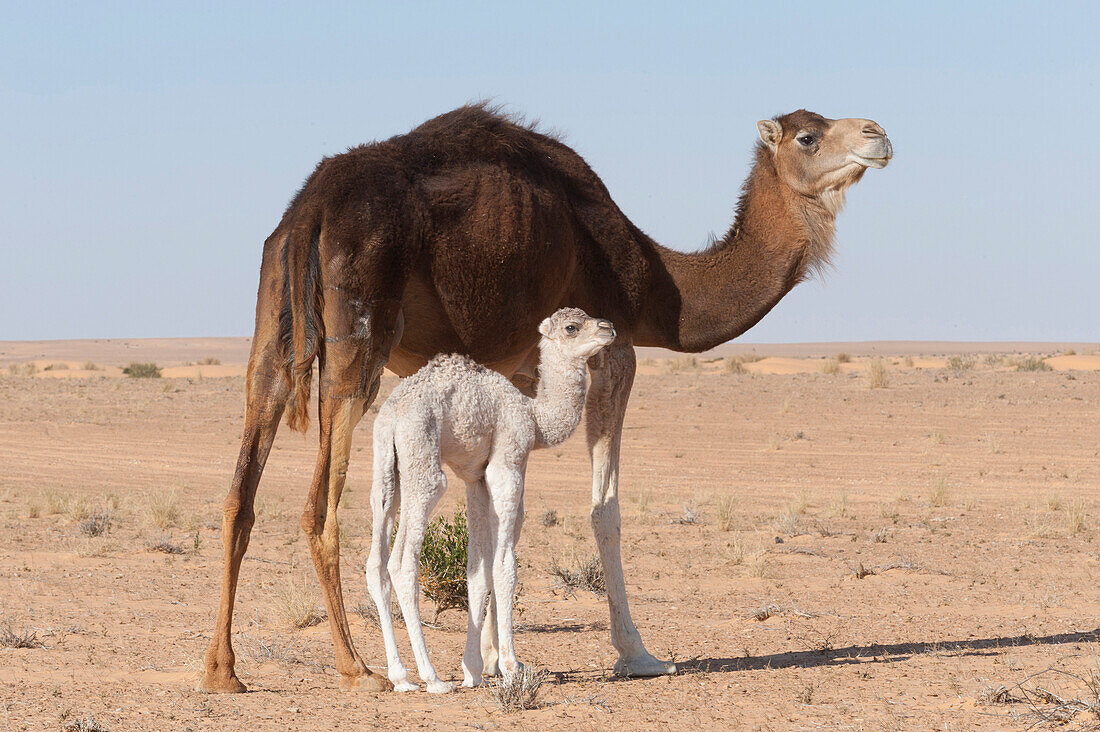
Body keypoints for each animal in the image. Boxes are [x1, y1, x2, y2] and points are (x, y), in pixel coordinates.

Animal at [365, 306, 616, 691]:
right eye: (572, 327)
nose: (609, 328)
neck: (534, 418)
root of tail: (393, 413)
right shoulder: (507, 462)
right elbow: (504, 567)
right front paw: (511, 666)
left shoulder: (475, 477)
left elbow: (477, 571)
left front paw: (473, 669)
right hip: (423, 463)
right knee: (403, 562)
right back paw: (432, 678)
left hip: (385, 466)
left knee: (375, 563)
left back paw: (401, 677)